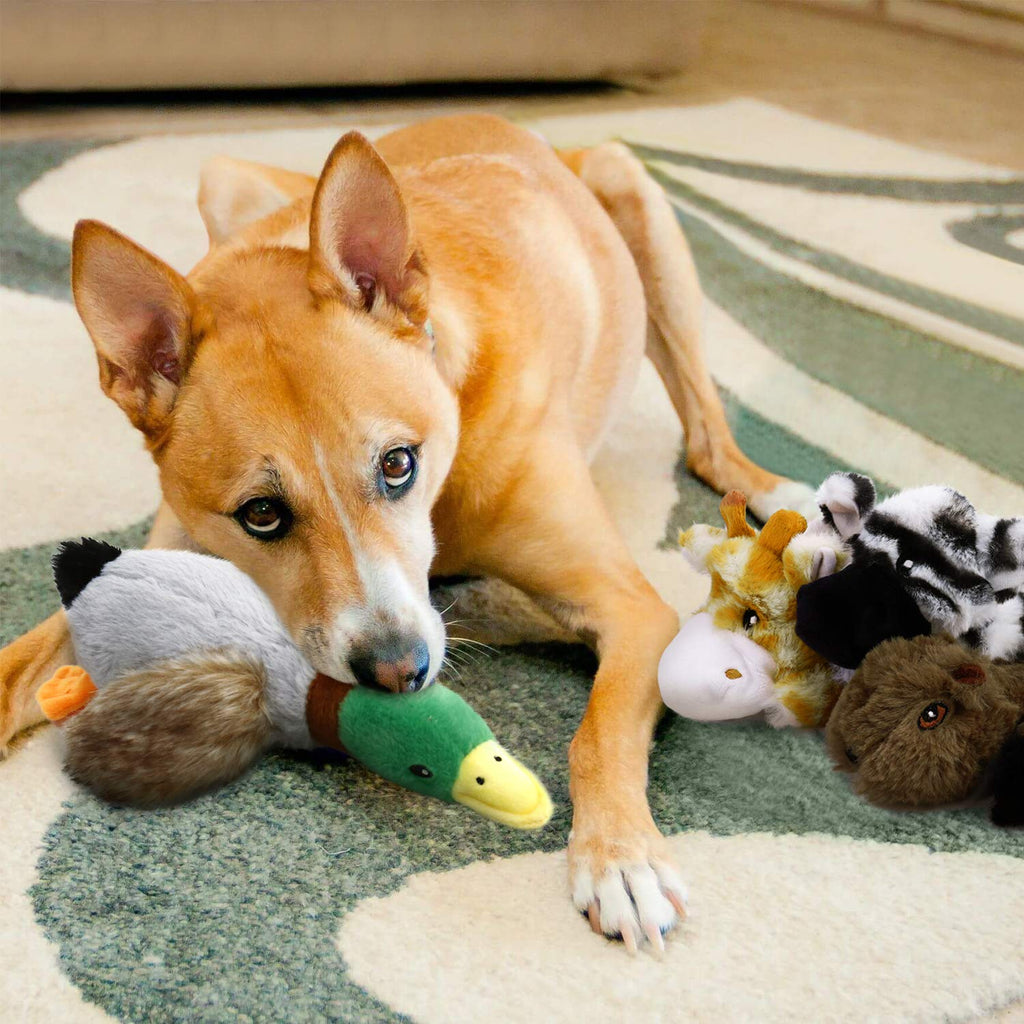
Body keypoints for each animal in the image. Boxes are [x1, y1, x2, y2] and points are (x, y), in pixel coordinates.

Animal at [0, 114, 798, 950]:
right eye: (261, 513)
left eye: (397, 463)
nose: (397, 670)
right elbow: (16, 668)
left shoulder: (633, 607)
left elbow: (600, 728)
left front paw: (621, 858)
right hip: (223, 174)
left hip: (638, 204)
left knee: (706, 430)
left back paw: (782, 494)